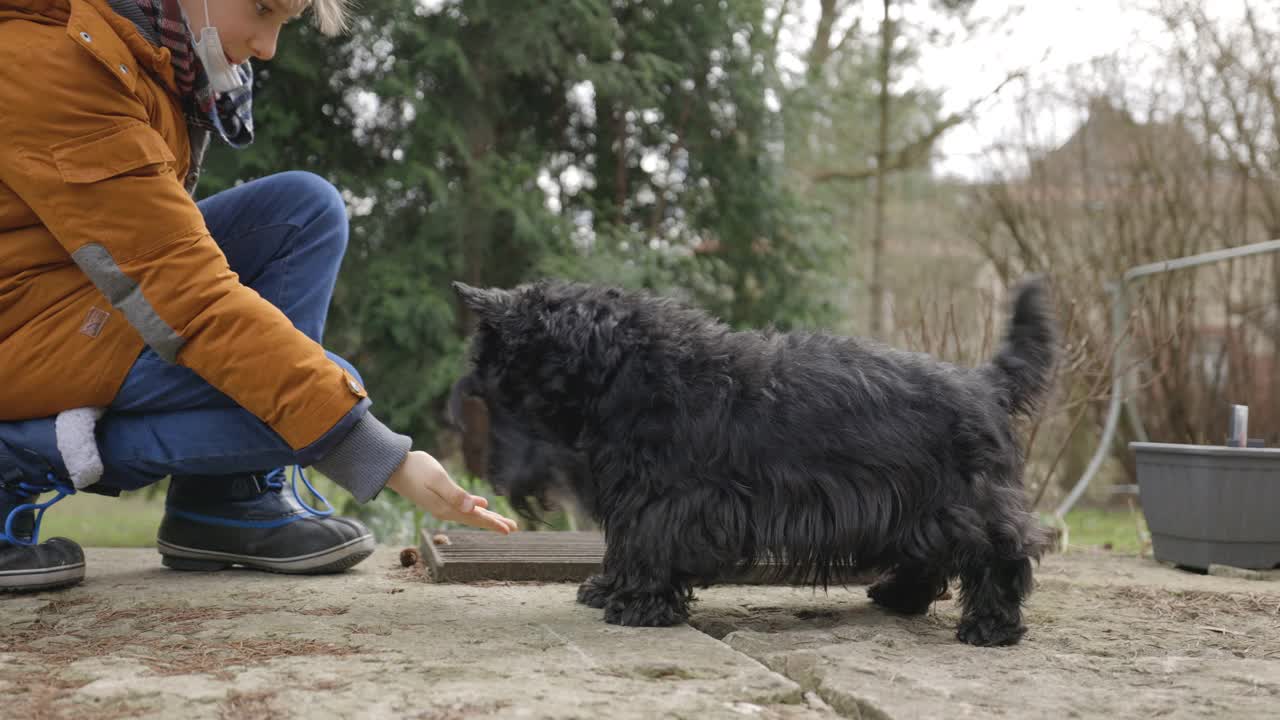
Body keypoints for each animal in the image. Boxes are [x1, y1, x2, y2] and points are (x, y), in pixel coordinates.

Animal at [448, 275, 1049, 645]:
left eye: (503, 388)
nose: (494, 476)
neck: (623, 369)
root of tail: (986, 383)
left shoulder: (666, 498)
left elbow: (648, 544)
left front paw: (637, 604)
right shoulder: (636, 494)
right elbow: (625, 543)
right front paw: (609, 589)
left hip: (963, 501)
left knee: (1000, 550)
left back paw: (990, 625)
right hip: (921, 504)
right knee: (930, 554)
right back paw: (899, 596)